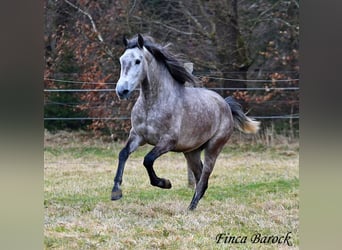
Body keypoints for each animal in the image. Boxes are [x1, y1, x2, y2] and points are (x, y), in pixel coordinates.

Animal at [112, 33, 260, 209]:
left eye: (137, 61)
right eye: (121, 60)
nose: (122, 91)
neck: (153, 103)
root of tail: (225, 104)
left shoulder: (168, 141)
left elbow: (147, 160)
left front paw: (165, 183)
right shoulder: (137, 136)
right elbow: (123, 154)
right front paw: (116, 192)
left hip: (213, 148)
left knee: (204, 177)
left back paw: (190, 207)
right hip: (191, 152)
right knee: (199, 176)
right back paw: (193, 205)